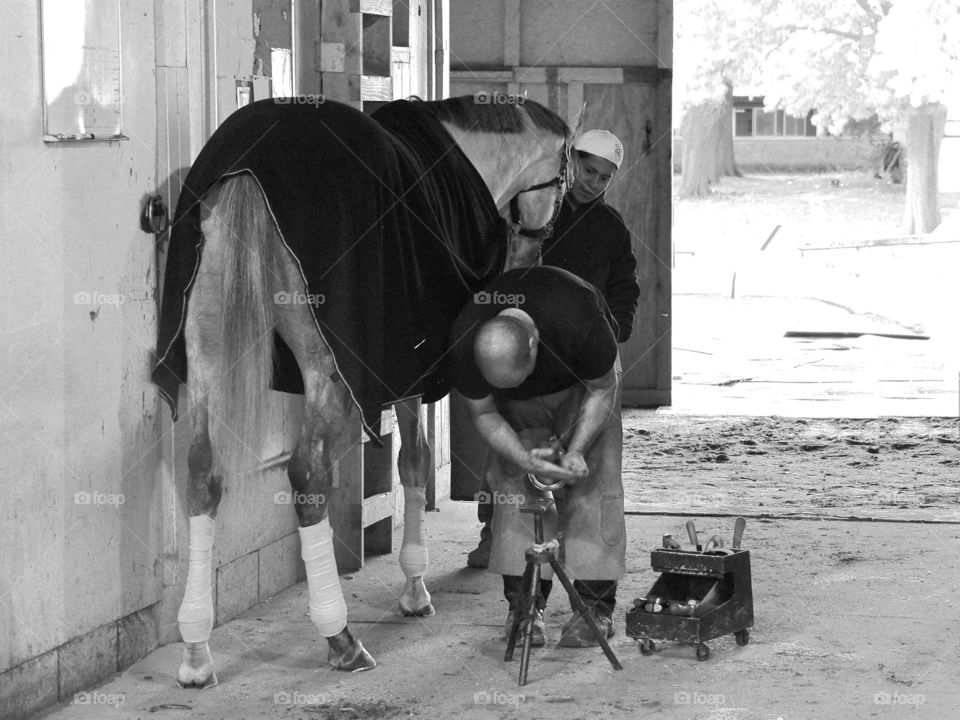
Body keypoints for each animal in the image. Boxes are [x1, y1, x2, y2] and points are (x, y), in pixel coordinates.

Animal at [152, 94, 570, 685]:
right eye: (563, 180)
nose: (530, 260)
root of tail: (250, 168)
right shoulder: (413, 372)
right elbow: (415, 461)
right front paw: (415, 589)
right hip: (323, 365)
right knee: (307, 477)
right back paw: (340, 638)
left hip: (205, 341)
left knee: (203, 473)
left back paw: (195, 649)